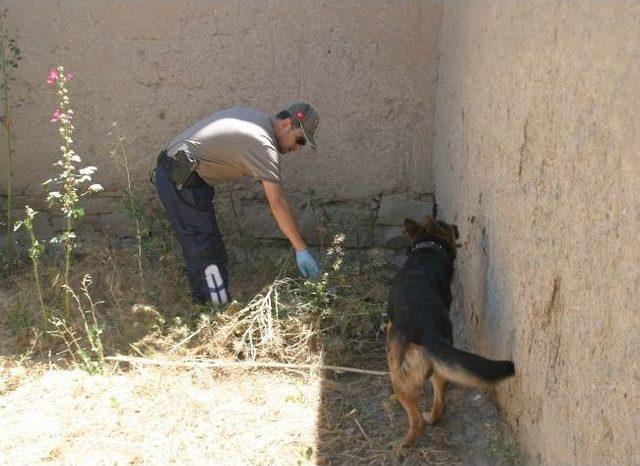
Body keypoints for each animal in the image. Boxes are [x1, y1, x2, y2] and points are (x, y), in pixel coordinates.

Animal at [384, 217, 516, 450]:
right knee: (440, 399)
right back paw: (431, 419)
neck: (426, 250)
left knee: (417, 419)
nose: (456, 227)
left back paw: (404, 444)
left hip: (398, 378)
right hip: (434, 366)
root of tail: (428, 333)